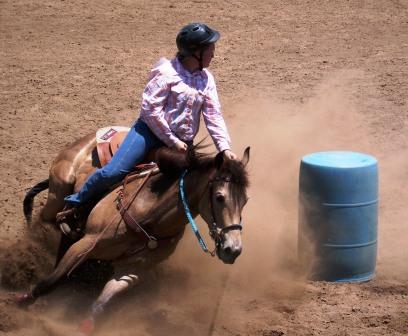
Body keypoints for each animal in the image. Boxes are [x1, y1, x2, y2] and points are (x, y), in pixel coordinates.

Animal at [19, 132, 250, 336]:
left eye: (245, 200)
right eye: (220, 197)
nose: (233, 249)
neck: (149, 215)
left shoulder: (131, 271)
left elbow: (100, 305)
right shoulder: (86, 244)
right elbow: (50, 283)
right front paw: (22, 302)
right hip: (57, 193)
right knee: (44, 221)